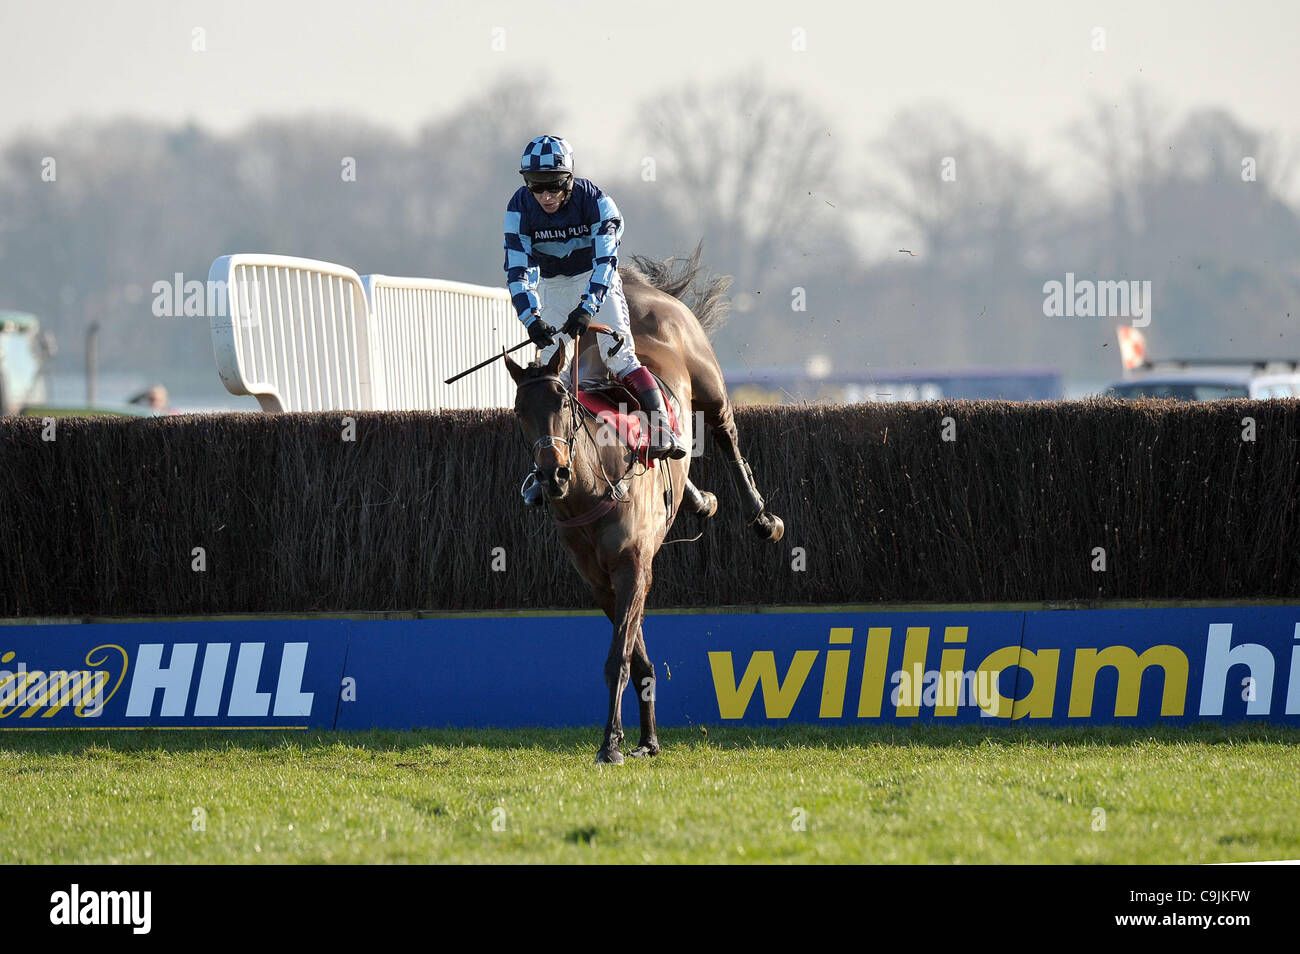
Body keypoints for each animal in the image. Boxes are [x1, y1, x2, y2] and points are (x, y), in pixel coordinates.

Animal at [499, 248, 780, 769]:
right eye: (518, 411)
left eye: (563, 401)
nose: (552, 476)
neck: (592, 487)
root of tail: (641, 289)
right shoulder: (600, 578)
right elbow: (638, 656)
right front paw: (646, 740)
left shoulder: (633, 566)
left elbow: (619, 661)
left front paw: (610, 744)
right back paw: (699, 500)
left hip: (707, 380)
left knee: (726, 433)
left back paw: (762, 517)